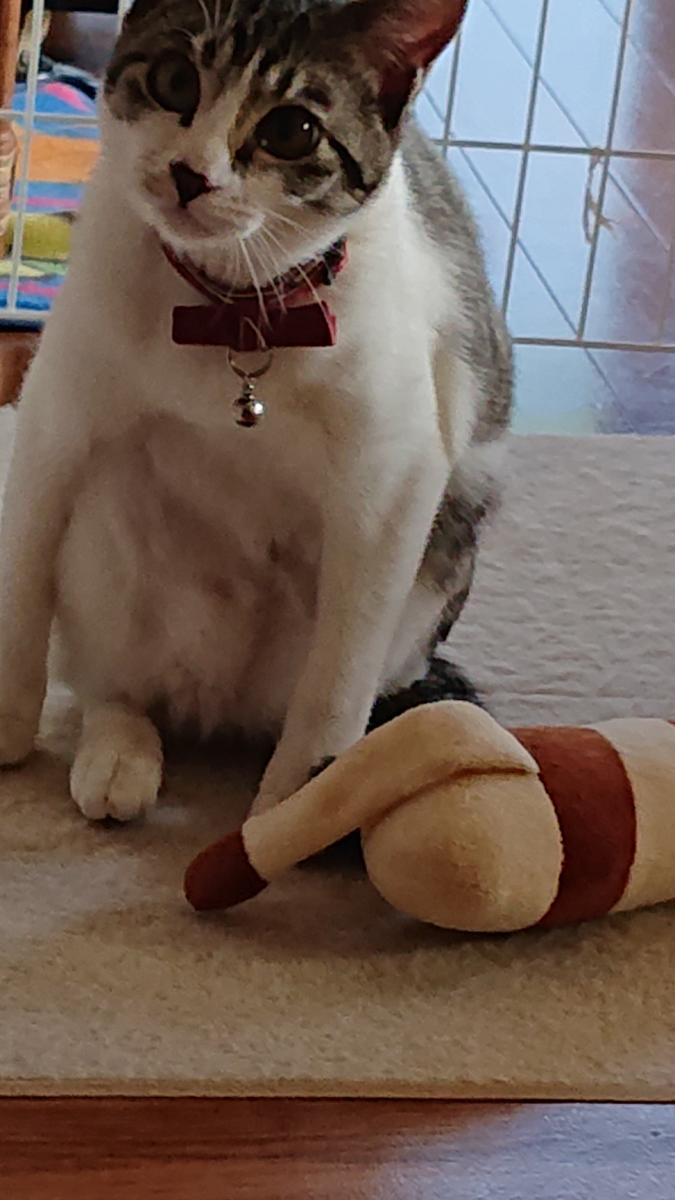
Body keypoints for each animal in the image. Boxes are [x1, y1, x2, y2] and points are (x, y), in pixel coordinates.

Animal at [0, 0, 511, 821]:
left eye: (291, 130)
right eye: (175, 79)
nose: (191, 175)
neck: (230, 312)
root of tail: (218, 704)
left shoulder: (393, 482)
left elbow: (334, 682)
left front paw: (294, 811)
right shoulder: (57, 414)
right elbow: (21, 583)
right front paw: (7, 729)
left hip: (425, 586)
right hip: (112, 558)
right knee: (113, 679)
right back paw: (119, 751)